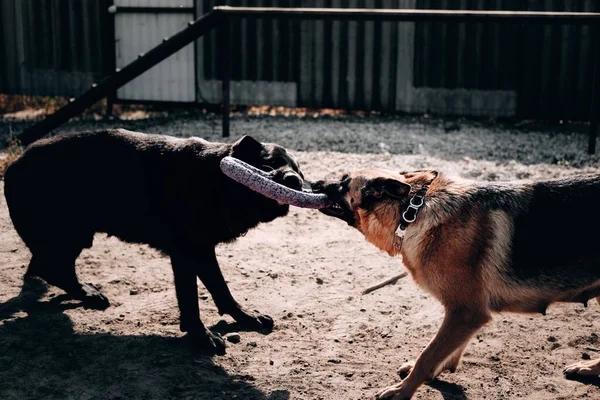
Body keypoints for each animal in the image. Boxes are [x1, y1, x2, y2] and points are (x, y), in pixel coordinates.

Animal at [3, 129, 304, 354]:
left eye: (298, 170)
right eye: (267, 164)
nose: (295, 182)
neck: (214, 179)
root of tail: (12, 166)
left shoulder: (203, 252)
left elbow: (221, 289)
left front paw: (245, 317)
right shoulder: (185, 254)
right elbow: (190, 299)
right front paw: (200, 336)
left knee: (48, 268)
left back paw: (83, 292)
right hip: (70, 236)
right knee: (51, 268)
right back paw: (85, 292)